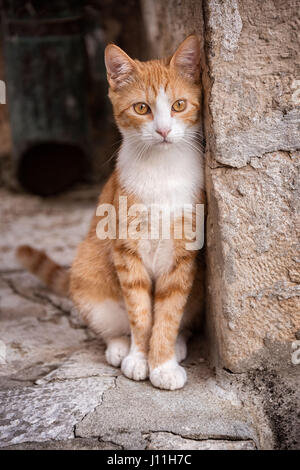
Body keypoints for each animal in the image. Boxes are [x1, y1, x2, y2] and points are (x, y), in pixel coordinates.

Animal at [17, 35, 206, 392]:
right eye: (142, 108)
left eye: (178, 105)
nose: (163, 131)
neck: (161, 170)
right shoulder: (125, 249)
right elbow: (140, 312)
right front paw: (140, 357)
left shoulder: (184, 253)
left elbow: (168, 312)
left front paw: (162, 362)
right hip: (89, 272)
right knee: (112, 325)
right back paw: (120, 347)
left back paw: (176, 346)